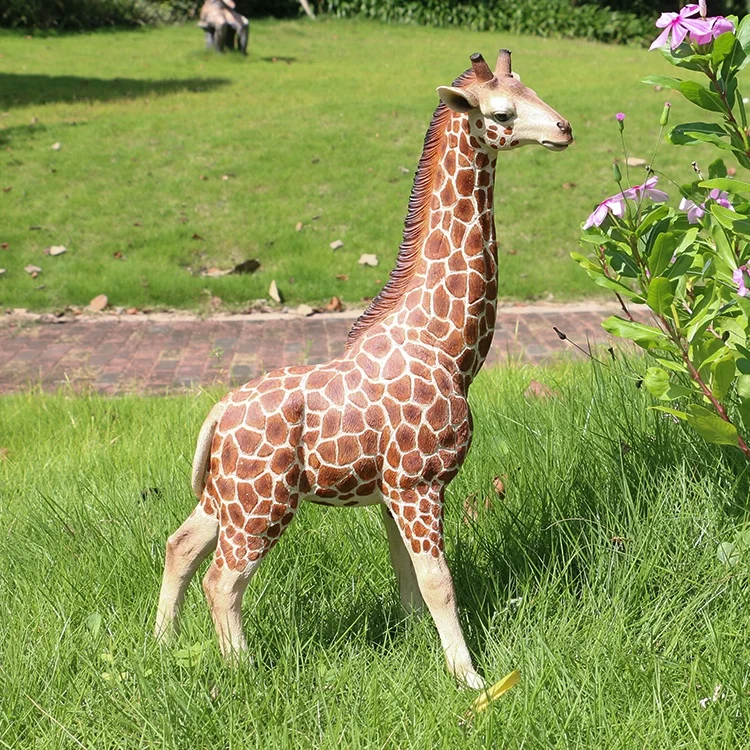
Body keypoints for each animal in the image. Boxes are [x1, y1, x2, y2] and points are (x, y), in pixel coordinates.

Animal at [154, 49, 572, 689]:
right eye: (503, 111)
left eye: (532, 87)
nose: (564, 129)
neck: (448, 348)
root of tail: (218, 414)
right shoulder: (418, 483)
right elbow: (439, 582)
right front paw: (472, 680)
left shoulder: (392, 491)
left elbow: (408, 580)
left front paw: (414, 647)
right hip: (262, 503)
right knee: (222, 578)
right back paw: (244, 671)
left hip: (228, 495)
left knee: (179, 546)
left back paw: (160, 646)